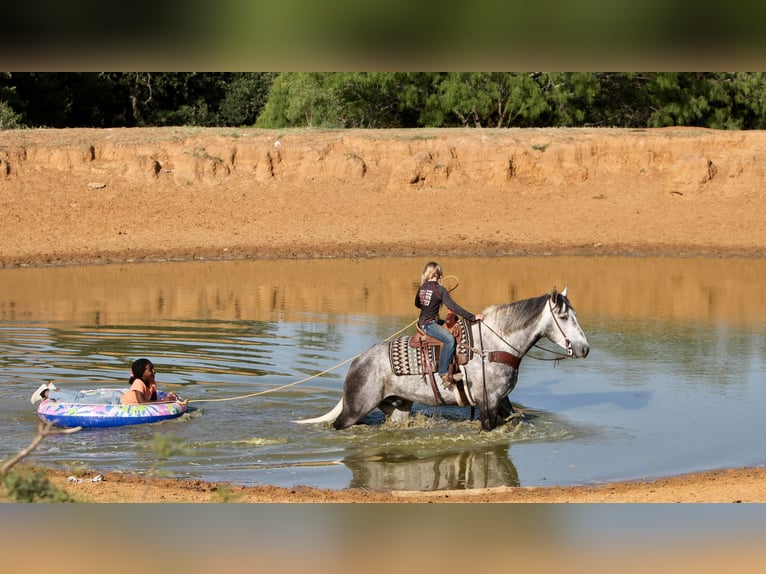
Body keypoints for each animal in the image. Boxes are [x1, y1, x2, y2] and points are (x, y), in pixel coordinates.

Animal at [296, 288, 592, 432]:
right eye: (563, 316)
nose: (584, 348)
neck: (493, 345)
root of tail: (357, 362)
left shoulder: (501, 401)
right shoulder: (488, 403)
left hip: (397, 408)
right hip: (354, 411)